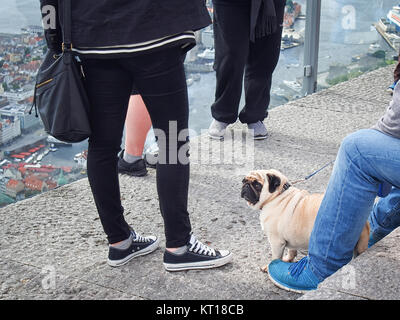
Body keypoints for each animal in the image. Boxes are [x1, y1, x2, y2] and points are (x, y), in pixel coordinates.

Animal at [239, 169, 370, 272]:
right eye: (244, 181)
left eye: (257, 185)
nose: (245, 186)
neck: (277, 196)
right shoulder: (289, 236)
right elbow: (291, 251)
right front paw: (288, 259)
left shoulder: (276, 242)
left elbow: (275, 258)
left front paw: (270, 268)